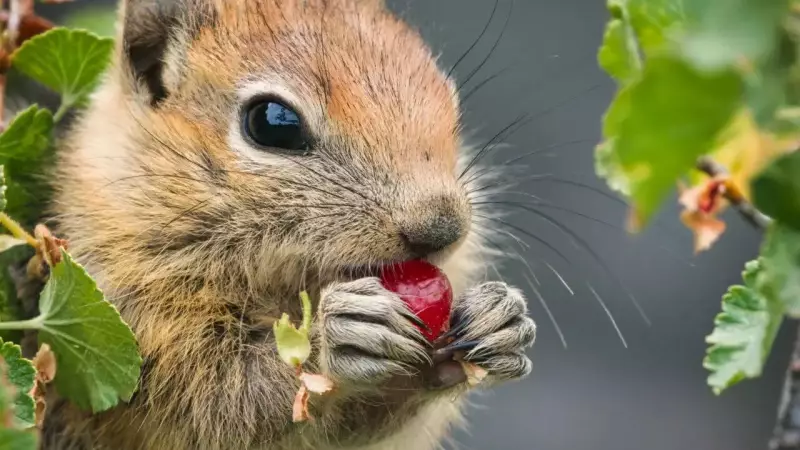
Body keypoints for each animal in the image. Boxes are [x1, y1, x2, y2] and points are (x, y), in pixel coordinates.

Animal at [36, 0, 537, 449]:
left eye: (451, 108)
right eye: (273, 122)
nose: (442, 230)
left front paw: (500, 318)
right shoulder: (125, 315)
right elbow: (215, 399)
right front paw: (336, 337)